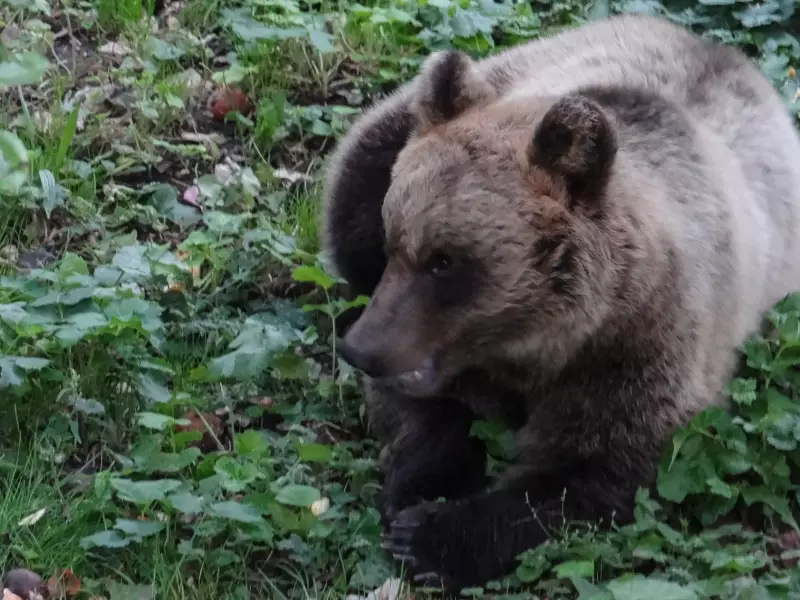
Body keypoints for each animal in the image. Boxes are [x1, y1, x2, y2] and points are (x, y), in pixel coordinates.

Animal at [318, 12, 800, 592]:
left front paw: (434, 536)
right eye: (397, 239)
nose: (361, 349)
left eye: (444, 261)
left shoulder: (642, 343)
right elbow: (420, 410)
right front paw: (423, 487)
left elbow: (595, 467)